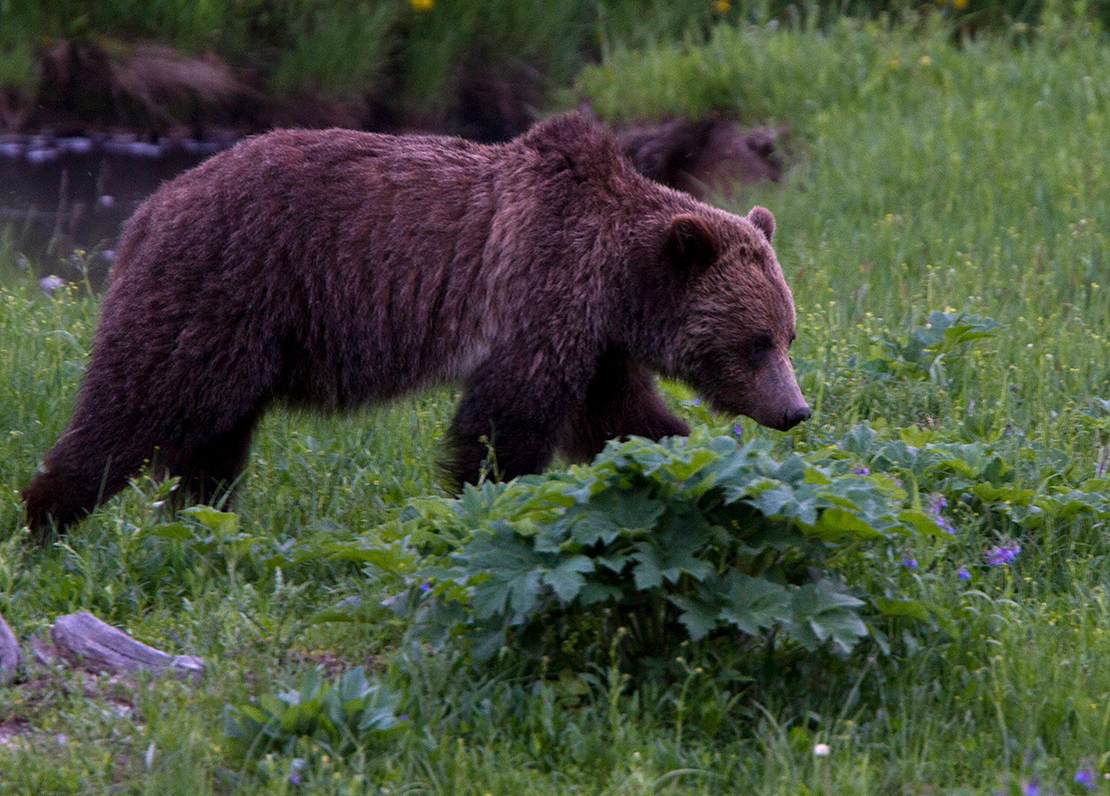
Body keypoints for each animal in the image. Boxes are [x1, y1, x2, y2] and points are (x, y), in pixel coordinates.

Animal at [21, 111, 812, 537]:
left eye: (788, 334)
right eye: (756, 342)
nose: (796, 410)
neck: (619, 278)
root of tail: (146, 209)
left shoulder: (596, 339)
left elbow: (622, 418)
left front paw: (696, 466)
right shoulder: (539, 290)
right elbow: (505, 423)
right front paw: (484, 501)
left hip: (240, 337)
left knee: (213, 441)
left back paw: (203, 522)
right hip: (219, 291)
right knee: (138, 404)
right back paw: (45, 521)